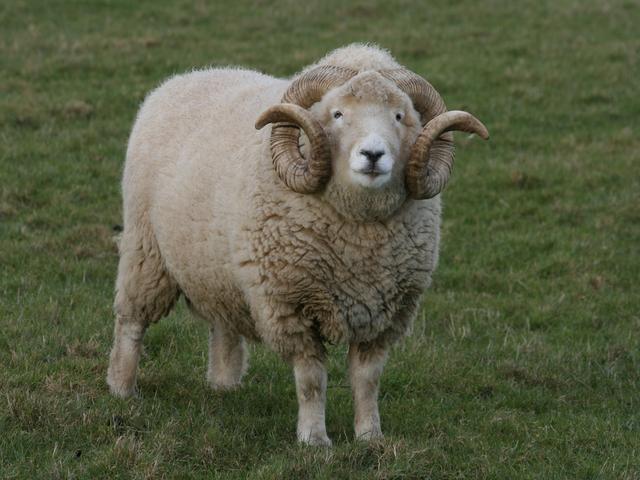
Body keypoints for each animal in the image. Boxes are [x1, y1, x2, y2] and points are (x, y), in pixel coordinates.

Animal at [106, 43, 488, 446]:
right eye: (337, 113)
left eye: (400, 116)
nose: (372, 155)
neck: (359, 237)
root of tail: (187, 76)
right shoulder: (291, 304)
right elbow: (311, 380)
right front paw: (314, 439)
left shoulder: (385, 313)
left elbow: (367, 379)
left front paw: (370, 436)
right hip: (145, 250)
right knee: (131, 321)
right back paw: (122, 389)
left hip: (219, 269)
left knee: (223, 321)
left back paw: (224, 385)